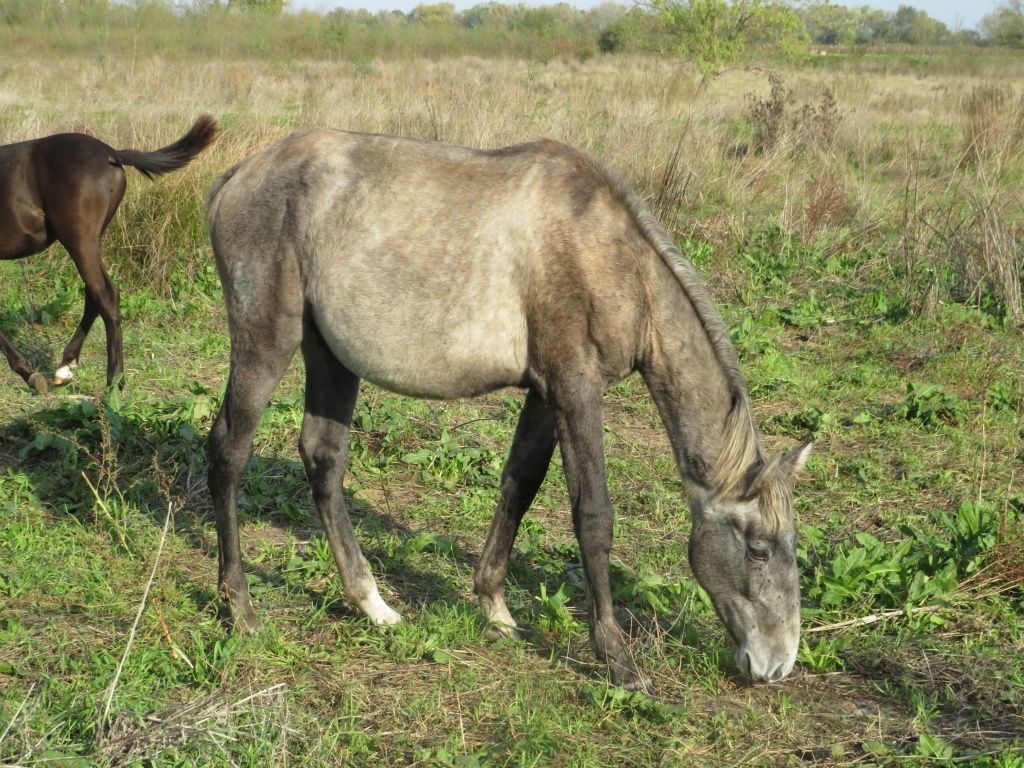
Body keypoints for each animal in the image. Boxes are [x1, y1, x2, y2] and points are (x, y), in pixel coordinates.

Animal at [1, 117, 218, 393]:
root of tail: (111, 153)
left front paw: (28, 373)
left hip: (78, 238)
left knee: (106, 293)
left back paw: (114, 380)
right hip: (93, 238)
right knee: (94, 292)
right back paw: (66, 365)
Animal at [207, 129, 811, 696]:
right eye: (757, 550)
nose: (778, 664)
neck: (614, 260)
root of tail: (238, 175)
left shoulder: (545, 395)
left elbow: (520, 484)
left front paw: (494, 606)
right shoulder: (576, 390)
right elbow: (594, 517)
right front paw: (618, 659)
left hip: (329, 355)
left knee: (323, 459)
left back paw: (372, 604)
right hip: (267, 340)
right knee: (228, 452)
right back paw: (241, 609)